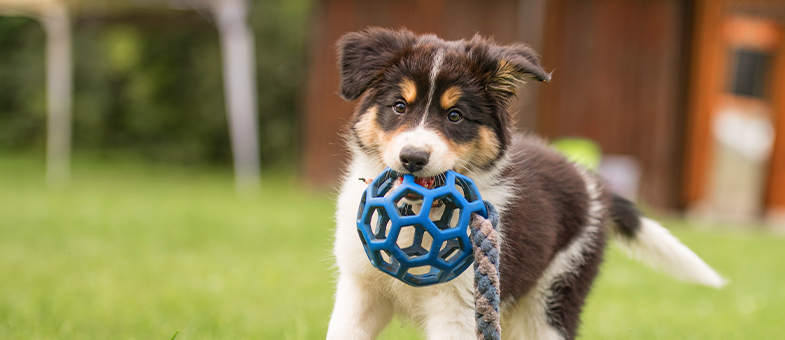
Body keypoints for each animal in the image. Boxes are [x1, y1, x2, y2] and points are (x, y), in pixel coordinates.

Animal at [324, 27, 724, 340]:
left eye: (455, 116)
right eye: (399, 106)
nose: (413, 158)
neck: (417, 208)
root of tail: (593, 184)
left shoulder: (459, 305)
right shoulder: (360, 287)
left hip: (553, 296)